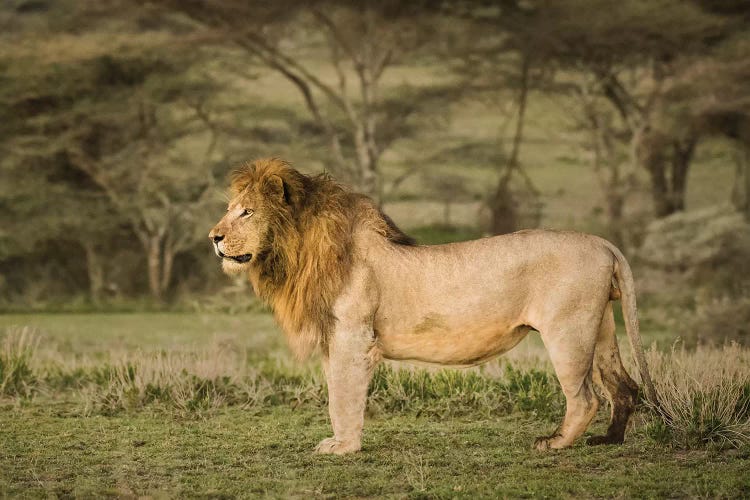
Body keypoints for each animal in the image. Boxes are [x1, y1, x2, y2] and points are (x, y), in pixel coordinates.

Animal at [210, 158, 656, 456]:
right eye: (229, 210)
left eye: (246, 212)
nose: (213, 237)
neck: (298, 252)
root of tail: (603, 243)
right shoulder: (334, 338)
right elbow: (337, 392)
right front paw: (339, 442)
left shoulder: (353, 337)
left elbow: (343, 395)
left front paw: (344, 447)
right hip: (600, 326)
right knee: (624, 386)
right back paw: (609, 440)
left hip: (567, 330)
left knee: (585, 397)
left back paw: (555, 442)